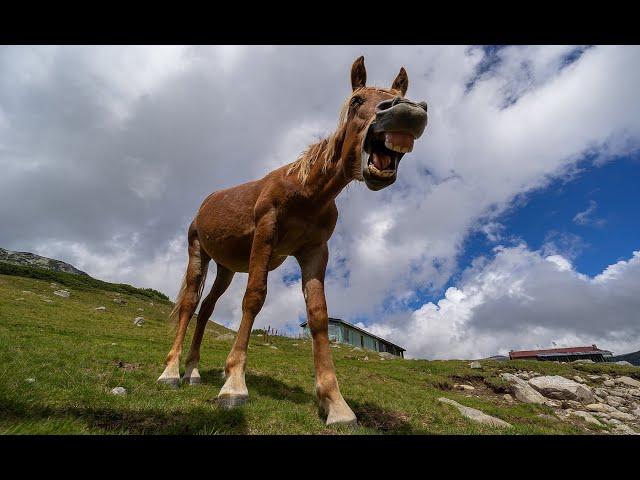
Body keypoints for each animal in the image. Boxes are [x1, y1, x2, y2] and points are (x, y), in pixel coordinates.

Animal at [159, 54, 430, 426]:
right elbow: (254, 298)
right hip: (198, 252)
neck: (307, 192)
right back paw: (171, 373)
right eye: (357, 100)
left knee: (206, 309)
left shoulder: (314, 251)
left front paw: (335, 403)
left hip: (226, 268)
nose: (405, 111)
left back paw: (193, 372)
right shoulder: (265, 234)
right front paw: (234, 384)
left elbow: (318, 315)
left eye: (399, 96)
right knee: (188, 305)